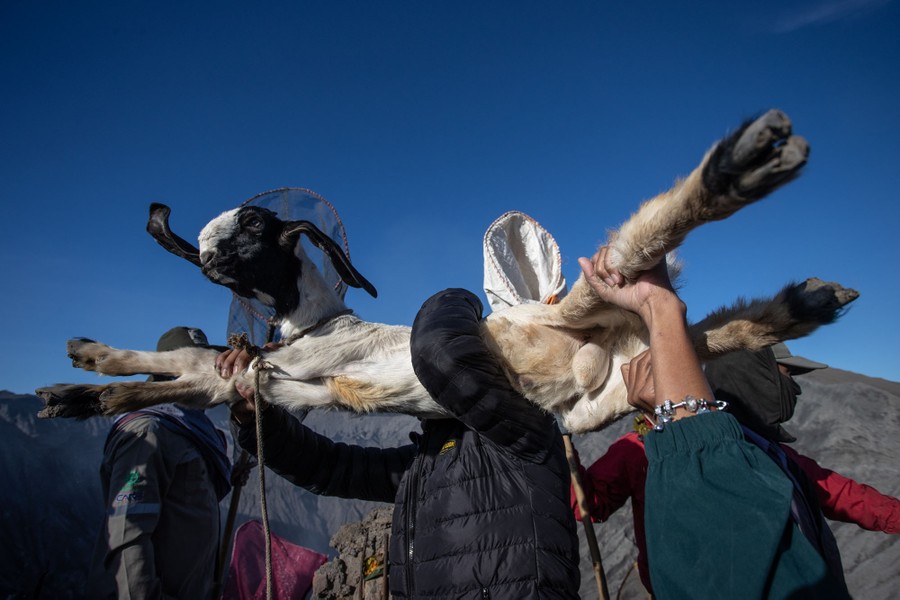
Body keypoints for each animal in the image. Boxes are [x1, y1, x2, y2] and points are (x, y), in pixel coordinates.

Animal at [38, 111, 860, 432]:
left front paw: (90, 380)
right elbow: (194, 371)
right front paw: (84, 384)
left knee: (630, 251)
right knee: (711, 331)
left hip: (565, 313)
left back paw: (741, 167)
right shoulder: (277, 382)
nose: (205, 251)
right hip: (618, 386)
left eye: (256, 228)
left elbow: (195, 363)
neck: (313, 325)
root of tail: (610, 345)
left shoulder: (299, 363)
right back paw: (806, 302)